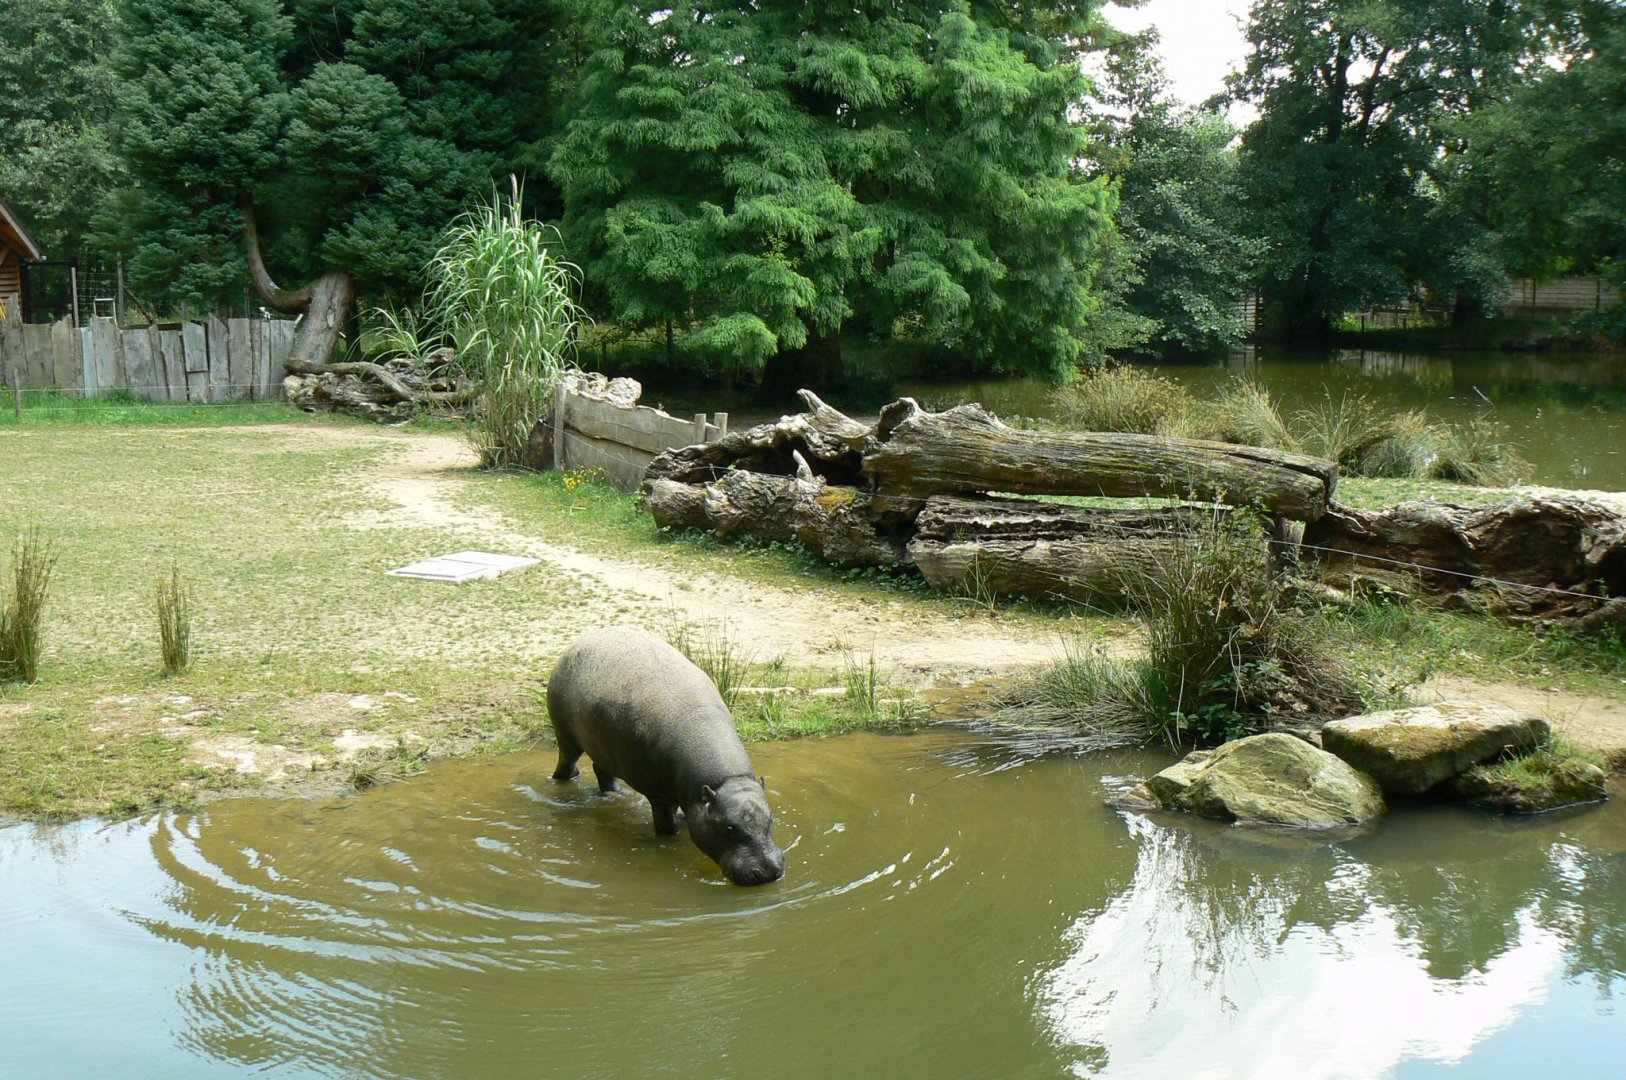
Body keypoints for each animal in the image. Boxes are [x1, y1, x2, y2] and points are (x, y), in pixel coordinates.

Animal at [546, 626, 786, 886]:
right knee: (567, 766)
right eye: (729, 828)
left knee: (602, 772)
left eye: (771, 820)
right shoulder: (658, 796)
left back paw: (615, 795)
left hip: (603, 747)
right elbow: (667, 828)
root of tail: (576, 643)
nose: (767, 872)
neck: (726, 781)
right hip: (566, 736)